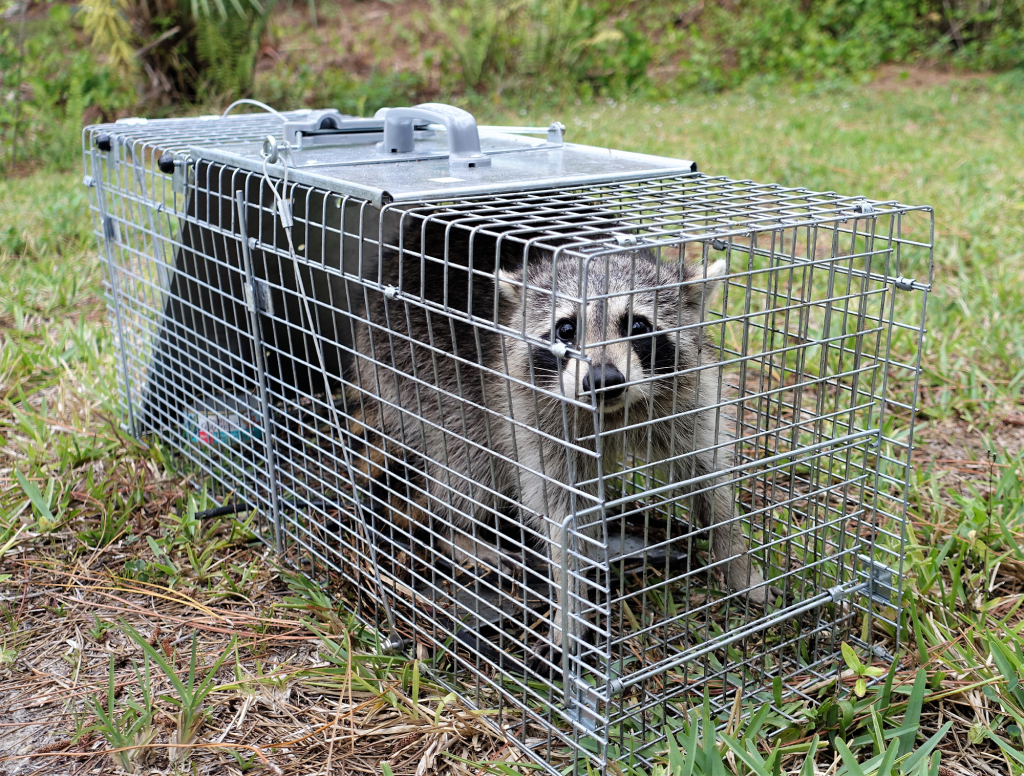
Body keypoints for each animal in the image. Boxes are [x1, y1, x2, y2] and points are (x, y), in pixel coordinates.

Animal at [346, 216, 770, 659]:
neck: (612, 415)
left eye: (638, 325)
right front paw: (570, 607)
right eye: (566, 329)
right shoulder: (529, 413)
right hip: (414, 365)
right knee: (467, 461)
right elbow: (560, 512)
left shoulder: (686, 400)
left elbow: (708, 474)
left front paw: (737, 560)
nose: (602, 380)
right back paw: (455, 531)